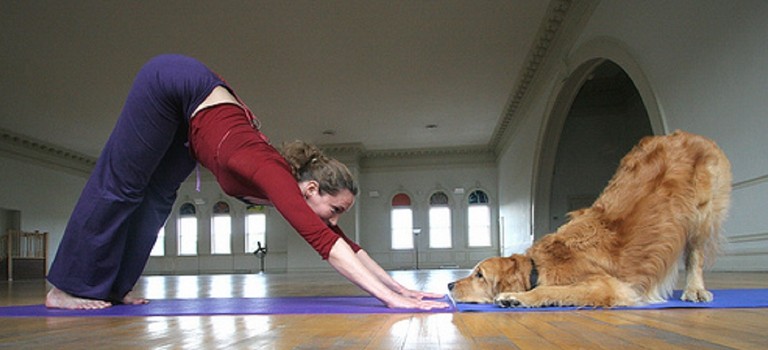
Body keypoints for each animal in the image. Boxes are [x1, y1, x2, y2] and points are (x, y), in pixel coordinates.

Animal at [450, 131, 732, 306]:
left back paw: (694, 289)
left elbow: (549, 289)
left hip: (702, 214)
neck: (538, 267)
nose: (450, 285)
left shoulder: (606, 285)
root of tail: (689, 135)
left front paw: (515, 297)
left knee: (695, 255)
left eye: (480, 275)